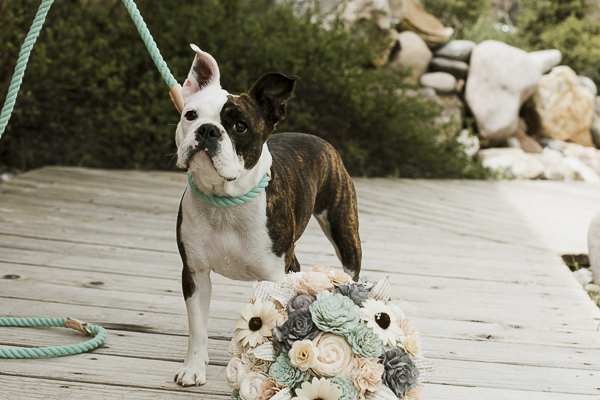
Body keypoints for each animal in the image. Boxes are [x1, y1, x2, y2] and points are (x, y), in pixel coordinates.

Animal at [173, 45, 360, 386]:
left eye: (240, 126)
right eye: (190, 115)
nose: (207, 130)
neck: (225, 202)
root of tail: (316, 138)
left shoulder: (273, 275)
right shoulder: (194, 274)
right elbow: (197, 328)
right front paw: (193, 368)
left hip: (344, 230)